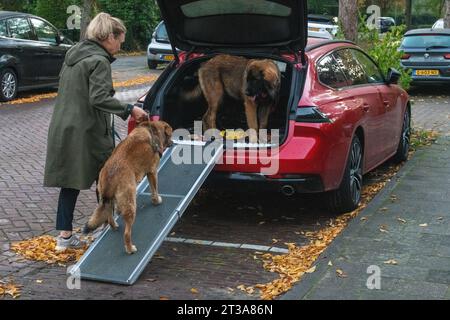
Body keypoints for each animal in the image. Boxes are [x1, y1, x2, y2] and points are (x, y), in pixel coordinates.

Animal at [81, 120, 173, 255]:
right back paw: (130, 249)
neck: (151, 129)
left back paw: (114, 226)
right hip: (130, 204)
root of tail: (110, 175)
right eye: (170, 135)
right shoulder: (152, 171)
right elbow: (154, 189)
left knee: (109, 215)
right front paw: (156, 200)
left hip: (107, 199)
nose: (173, 142)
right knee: (127, 233)